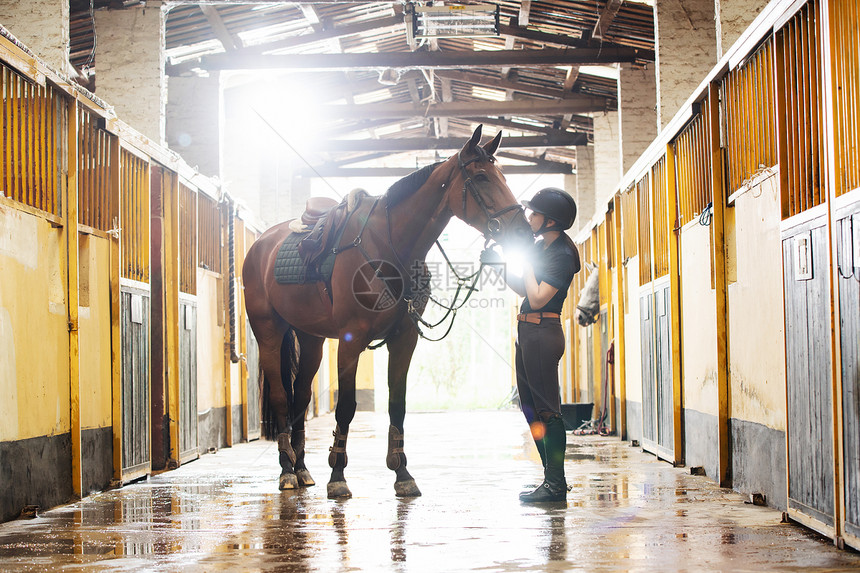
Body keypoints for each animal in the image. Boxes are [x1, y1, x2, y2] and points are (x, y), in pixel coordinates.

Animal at [242, 124, 536, 496]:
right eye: (481, 177)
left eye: (504, 176)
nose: (523, 231)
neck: (388, 245)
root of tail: (261, 245)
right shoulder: (351, 340)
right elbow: (346, 406)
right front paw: (337, 475)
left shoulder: (404, 337)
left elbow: (398, 405)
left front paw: (403, 473)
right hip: (269, 331)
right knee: (282, 397)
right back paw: (286, 471)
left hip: (310, 340)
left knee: (300, 398)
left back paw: (303, 468)